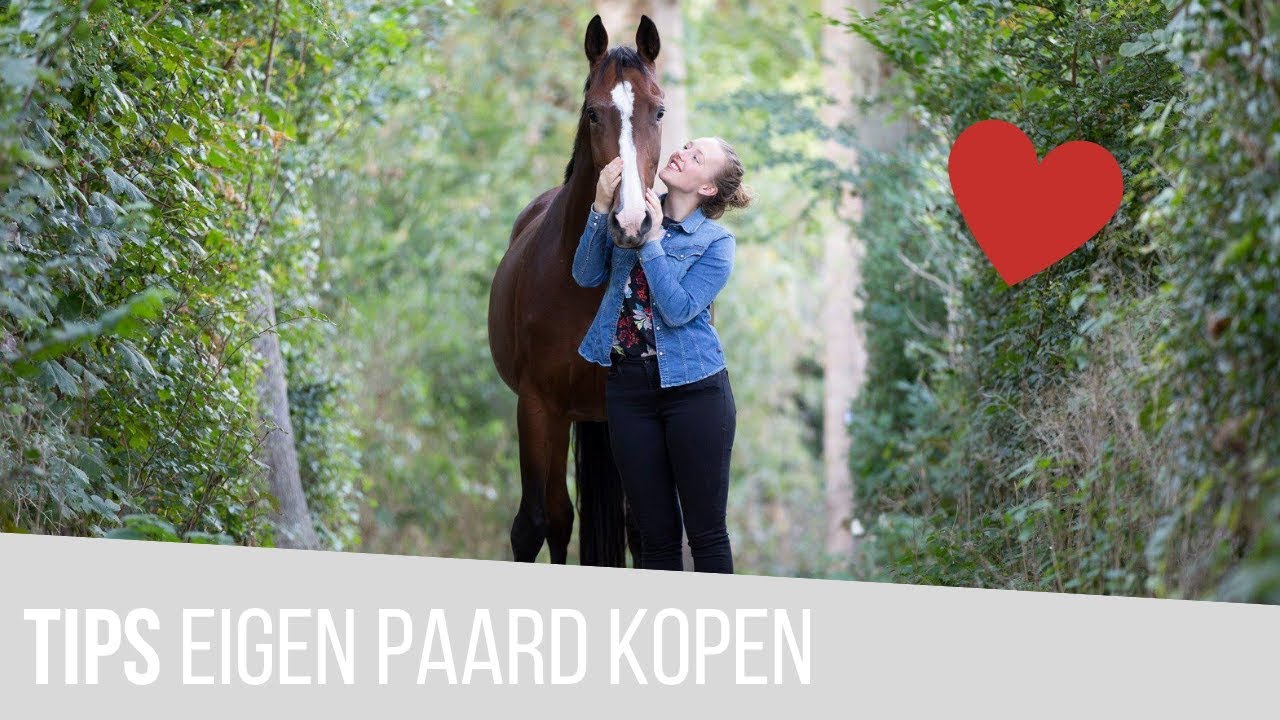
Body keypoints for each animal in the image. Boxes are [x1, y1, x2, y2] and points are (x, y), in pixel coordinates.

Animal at [487, 15, 665, 566]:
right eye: (592, 113)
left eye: (659, 110)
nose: (630, 222)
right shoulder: (536, 406)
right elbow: (532, 525)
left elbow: (642, 531)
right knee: (560, 517)